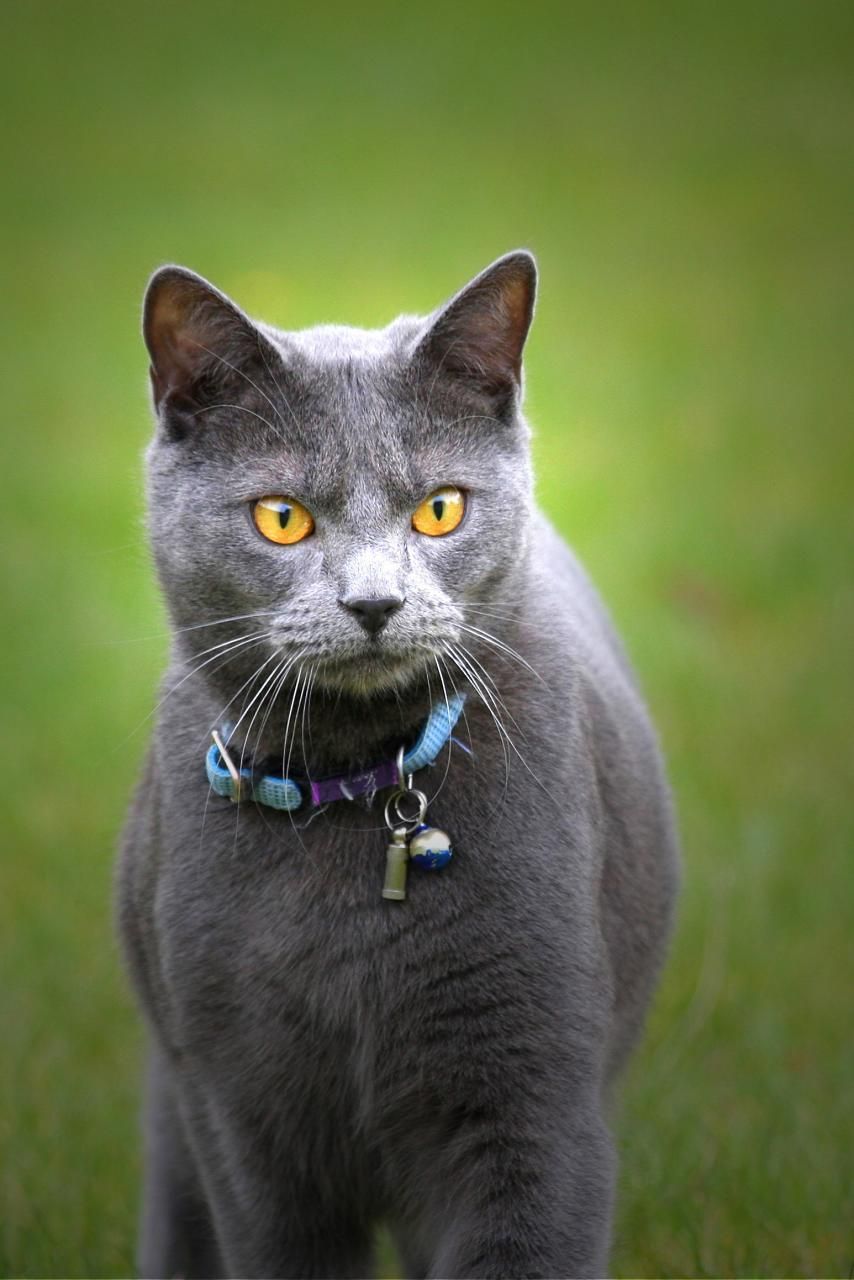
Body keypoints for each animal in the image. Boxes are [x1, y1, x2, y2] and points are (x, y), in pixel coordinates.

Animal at [117, 252, 681, 1280]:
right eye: (283, 518)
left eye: (440, 508)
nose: (375, 601)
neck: (358, 788)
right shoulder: (243, 1120)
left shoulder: (533, 1105)